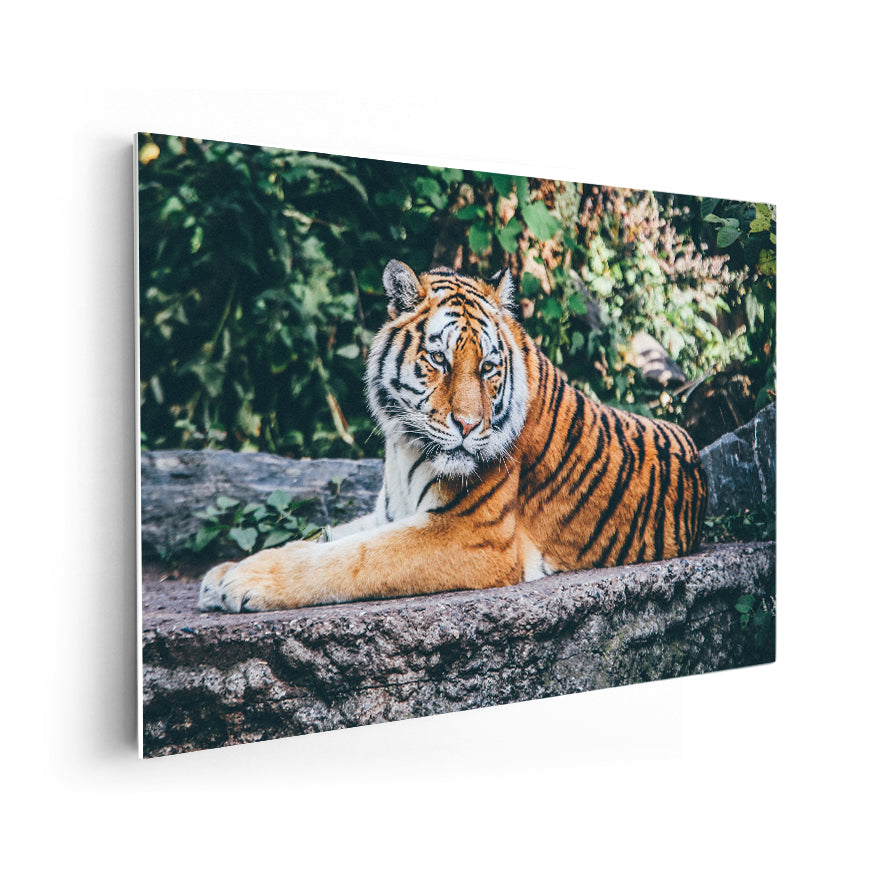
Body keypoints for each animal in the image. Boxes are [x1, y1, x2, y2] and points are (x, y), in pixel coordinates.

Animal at [198, 260, 708, 612]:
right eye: (439, 360)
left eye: (487, 367)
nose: (467, 425)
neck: (403, 447)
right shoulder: (390, 513)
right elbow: (325, 538)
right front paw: (221, 574)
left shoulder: (471, 534)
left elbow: (353, 557)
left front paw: (245, 581)